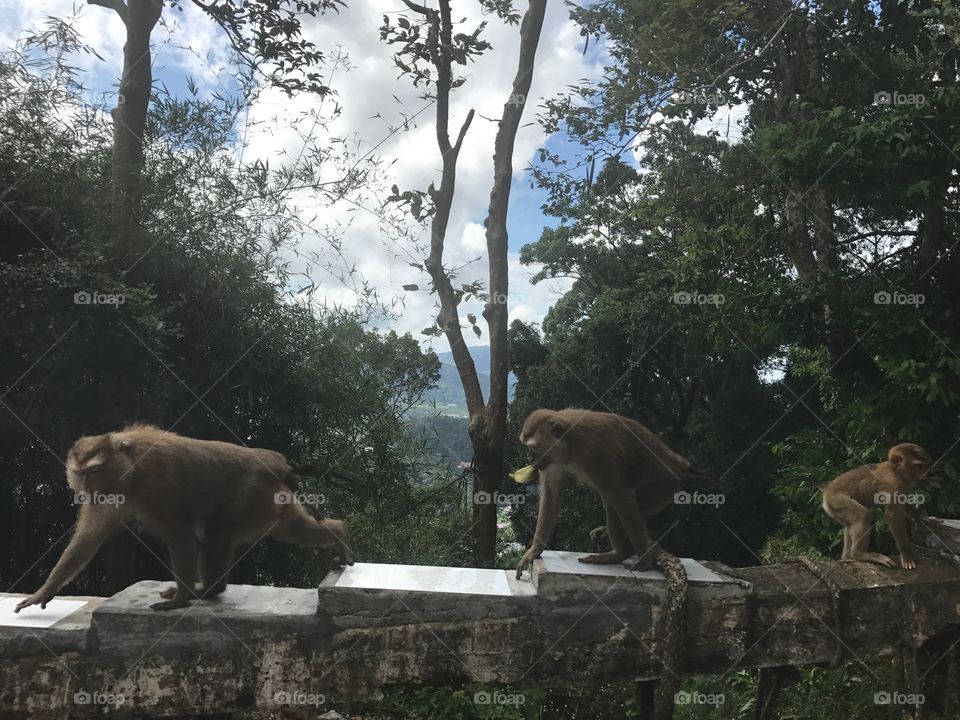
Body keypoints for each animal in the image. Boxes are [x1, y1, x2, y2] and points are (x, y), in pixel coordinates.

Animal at [15, 424, 354, 616]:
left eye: (94, 470)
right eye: (81, 472)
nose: (86, 488)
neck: (130, 462)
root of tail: (277, 463)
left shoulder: (156, 482)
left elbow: (178, 531)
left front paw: (180, 598)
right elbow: (89, 537)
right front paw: (45, 590)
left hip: (252, 494)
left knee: (217, 534)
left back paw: (207, 590)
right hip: (271, 502)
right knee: (292, 529)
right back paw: (340, 534)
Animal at [516, 410, 704, 580]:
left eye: (533, 447)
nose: (531, 460)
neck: (569, 446)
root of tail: (678, 464)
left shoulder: (597, 453)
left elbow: (621, 494)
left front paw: (645, 561)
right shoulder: (552, 461)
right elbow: (552, 493)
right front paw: (533, 551)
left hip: (659, 488)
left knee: (616, 502)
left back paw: (620, 553)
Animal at [820, 442, 940, 572]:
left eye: (927, 466)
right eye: (919, 466)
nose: (927, 474)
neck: (897, 472)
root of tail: (827, 489)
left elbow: (904, 503)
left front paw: (922, 518)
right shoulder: (894, 485)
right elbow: (893, 516)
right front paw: (906, 554)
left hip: (834, 507)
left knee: (849, 526)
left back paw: (847, 558)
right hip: (836, 500)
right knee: (863, 515)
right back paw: (860, 554)